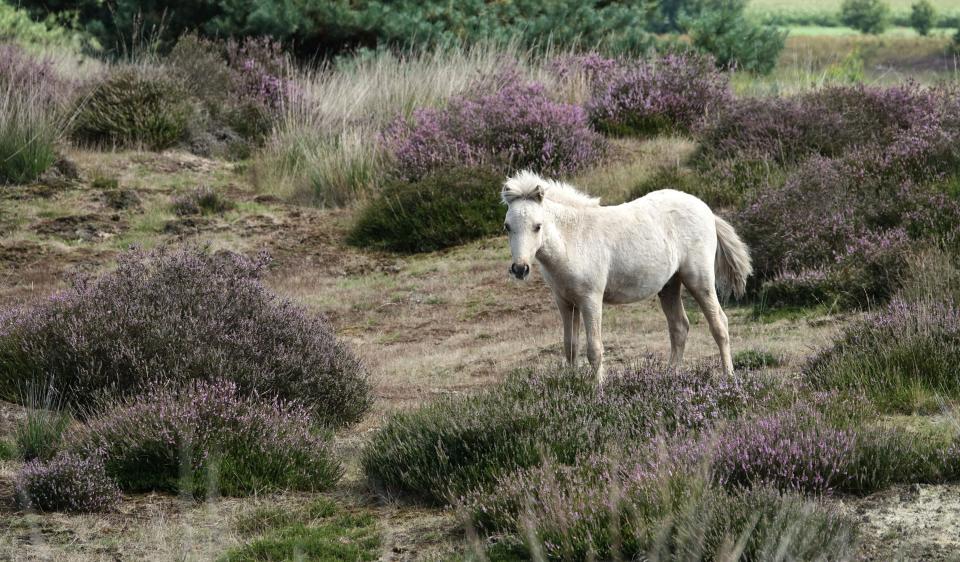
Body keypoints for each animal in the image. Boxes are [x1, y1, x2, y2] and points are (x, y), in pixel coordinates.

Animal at [501, 170, 752, 382]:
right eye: (507, 226)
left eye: (537, 226)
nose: (520, 269)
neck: (573, 239)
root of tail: (706, 209)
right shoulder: (564, 302)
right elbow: (570, 347)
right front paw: (572, 386)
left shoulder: (590, 299)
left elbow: (594, 349)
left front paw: (597, 390)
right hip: (669, 285)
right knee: (679, 327)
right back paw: (668, 377)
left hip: (699, 280)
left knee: (719, 324)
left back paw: (729, 377)